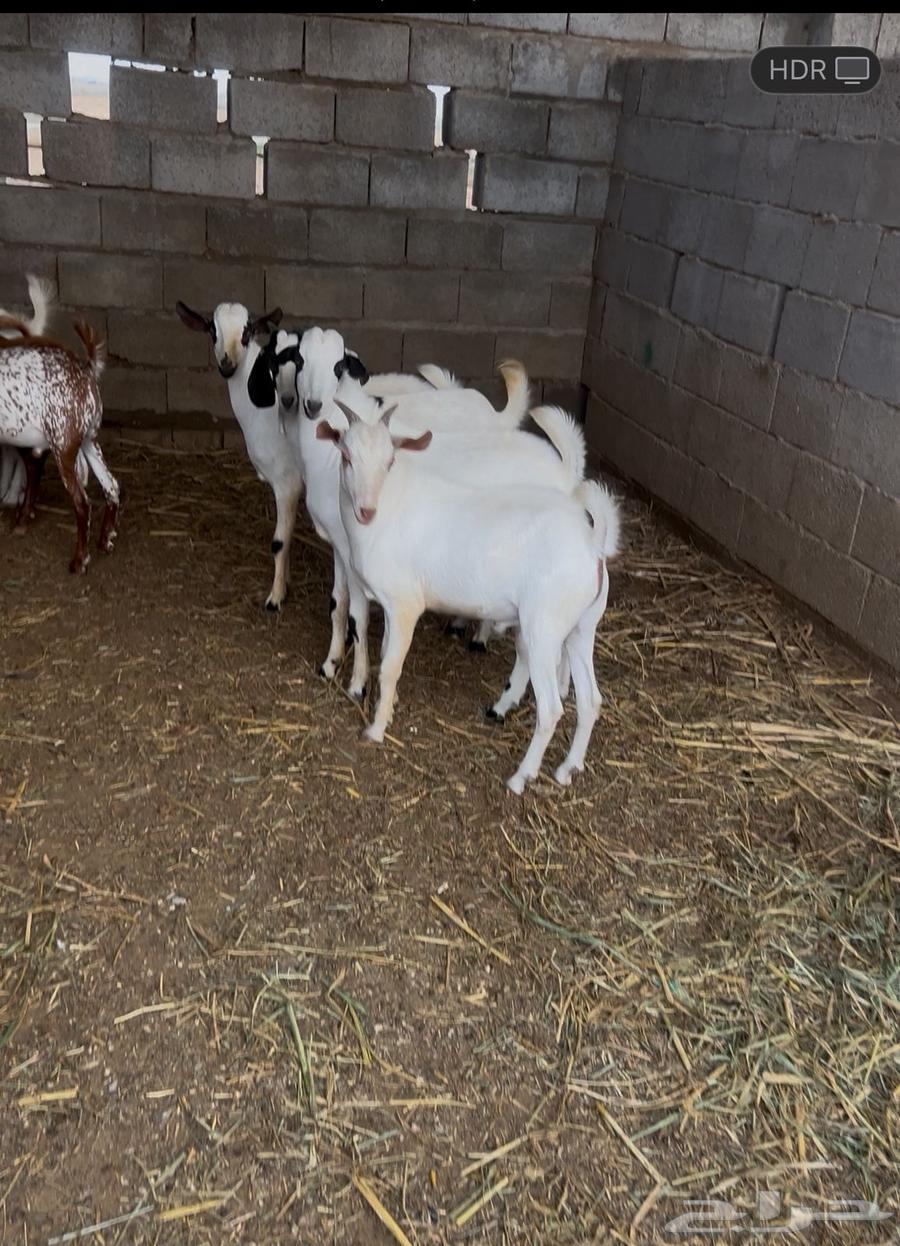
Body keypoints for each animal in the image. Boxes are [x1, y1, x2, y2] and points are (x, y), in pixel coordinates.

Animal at [0, 318, 119, 573]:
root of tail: (86, 369)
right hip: (89, 440)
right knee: (111, 485)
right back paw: (105, 541)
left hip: (63, 446)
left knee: (82, 503)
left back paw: (79, 561)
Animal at [175, 300, 305, 612]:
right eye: (212, 330)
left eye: (247, 332)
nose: (227, 365)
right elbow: (288, 537)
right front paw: (286, 580)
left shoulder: (288, 482)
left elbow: (279, 541)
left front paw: (275, 597)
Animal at [320, 401, 621, 794]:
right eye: (346, 456)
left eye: (390, 460)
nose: (366, 510)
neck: (389, 510)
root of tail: (592, 547)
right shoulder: (388, 605)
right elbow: (385, 653)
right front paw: (390, 703)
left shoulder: (404, 604)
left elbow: (389, 666)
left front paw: (376, 728)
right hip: (582, 626)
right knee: (590, 700)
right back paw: (567, 769)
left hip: (544, 627)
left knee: (552, 708)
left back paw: (521, 777)